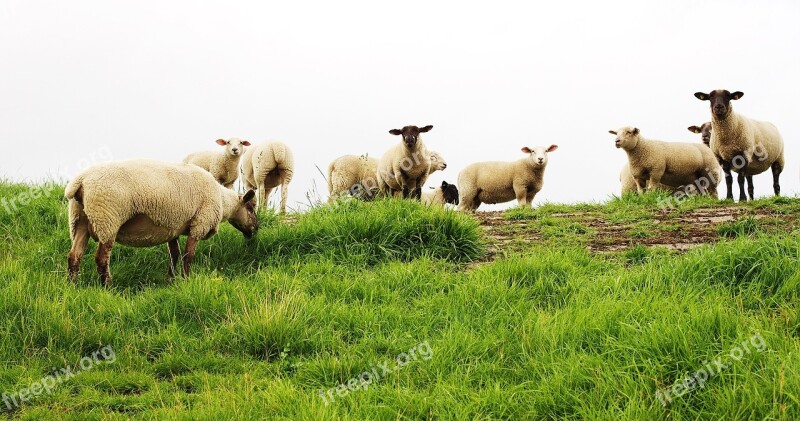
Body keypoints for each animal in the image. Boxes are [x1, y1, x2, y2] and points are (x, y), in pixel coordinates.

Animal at [67, 160, 260, 286]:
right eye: (251, 207)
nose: (256, 229)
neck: (222, 200)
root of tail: (80, 180)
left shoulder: (172, 228)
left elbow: (174, 255)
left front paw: (171, 280)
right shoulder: (200, 223)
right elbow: (188, 256)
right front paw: (186, 279)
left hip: (79, 219)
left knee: (74, 256)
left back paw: (72, 285)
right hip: (107, 219)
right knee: (101, 258)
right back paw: (107, 286)